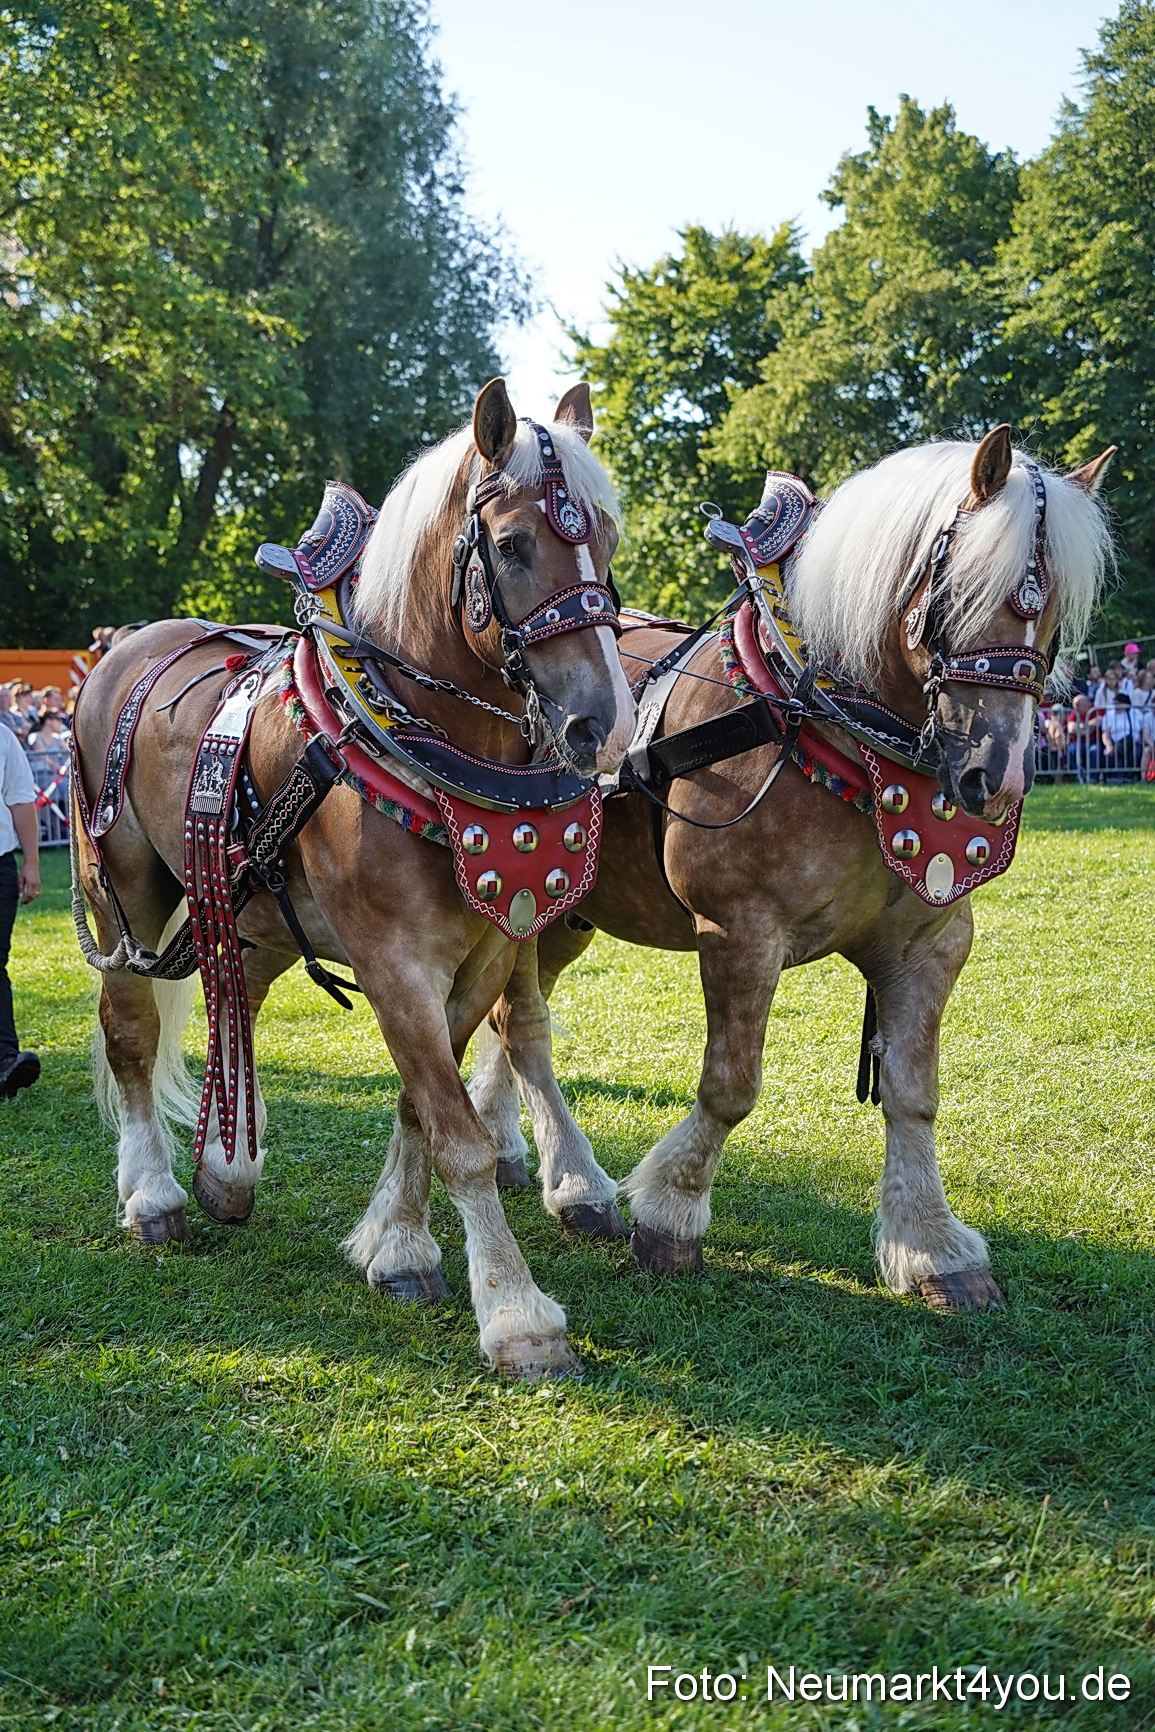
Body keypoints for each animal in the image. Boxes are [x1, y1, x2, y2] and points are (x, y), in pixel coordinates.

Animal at [71, 379, 636, 1379]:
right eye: (513, 544)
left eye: (605, 539)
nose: (602, 726)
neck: (420, 749)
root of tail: (127, 648)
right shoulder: (392, 961)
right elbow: (457, 1137)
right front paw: (517, 1315)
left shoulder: (482, 956)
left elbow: (423, 1104)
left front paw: (398, 1248)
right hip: (122, 890)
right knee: (130, 1033)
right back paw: (155, 1194)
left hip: (246, 901)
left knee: (237, 997)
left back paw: (227, 1169)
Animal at [466, 428, 1114, 1311]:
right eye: (959, 590)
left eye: (1052, 611)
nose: (998, 777)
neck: (834, 729)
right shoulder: (739, 931)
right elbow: (730, 1084)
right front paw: (670, 1213)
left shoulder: (933, 943)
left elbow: (913, 1094)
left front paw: (931, 1244)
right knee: (522, 1022)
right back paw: (575, 1185)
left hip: (570, 910)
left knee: (511, 1018)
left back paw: (503, 1141)